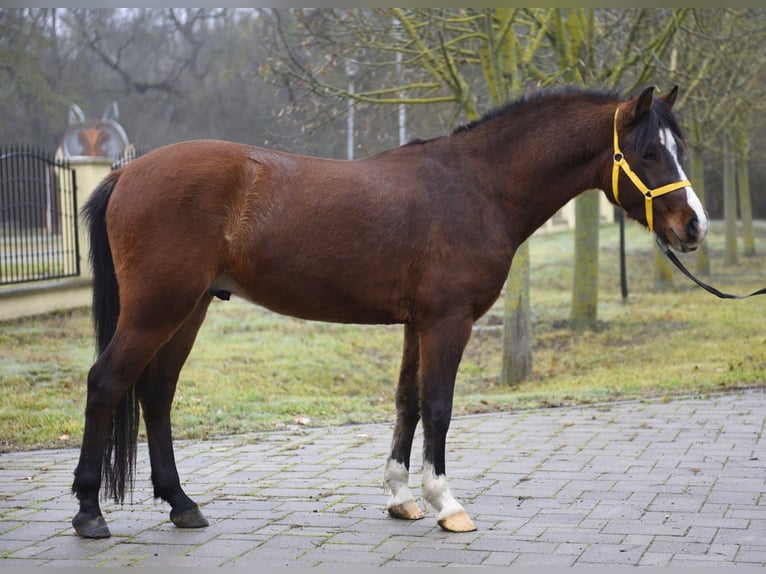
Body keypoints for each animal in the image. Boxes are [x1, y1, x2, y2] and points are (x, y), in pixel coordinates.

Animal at [72, 85, 708, 538]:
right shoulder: (448, 322)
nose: (694, 226)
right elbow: (440, 407)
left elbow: (408, 403)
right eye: (649, 151)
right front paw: (446, 503)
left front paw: (402, 498)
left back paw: (182, 504)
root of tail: (126, 171)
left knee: (156, 394)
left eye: (680, 149)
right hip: (159, 309)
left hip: (190, 309)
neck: (477, 186)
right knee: (106, 382)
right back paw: (89, 513)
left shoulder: (415, 324)